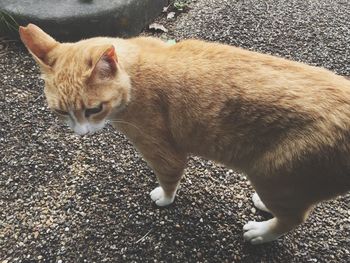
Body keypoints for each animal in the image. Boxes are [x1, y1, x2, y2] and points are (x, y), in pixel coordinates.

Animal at [19, 23, 350, 245]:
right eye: (61, 112)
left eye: (93, 109)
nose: (82, 133)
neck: (135, 72)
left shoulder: (165, 154)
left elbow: (168, 181)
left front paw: (164, 198)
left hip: (273, 176)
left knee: (293, 219)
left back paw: (260, 233)